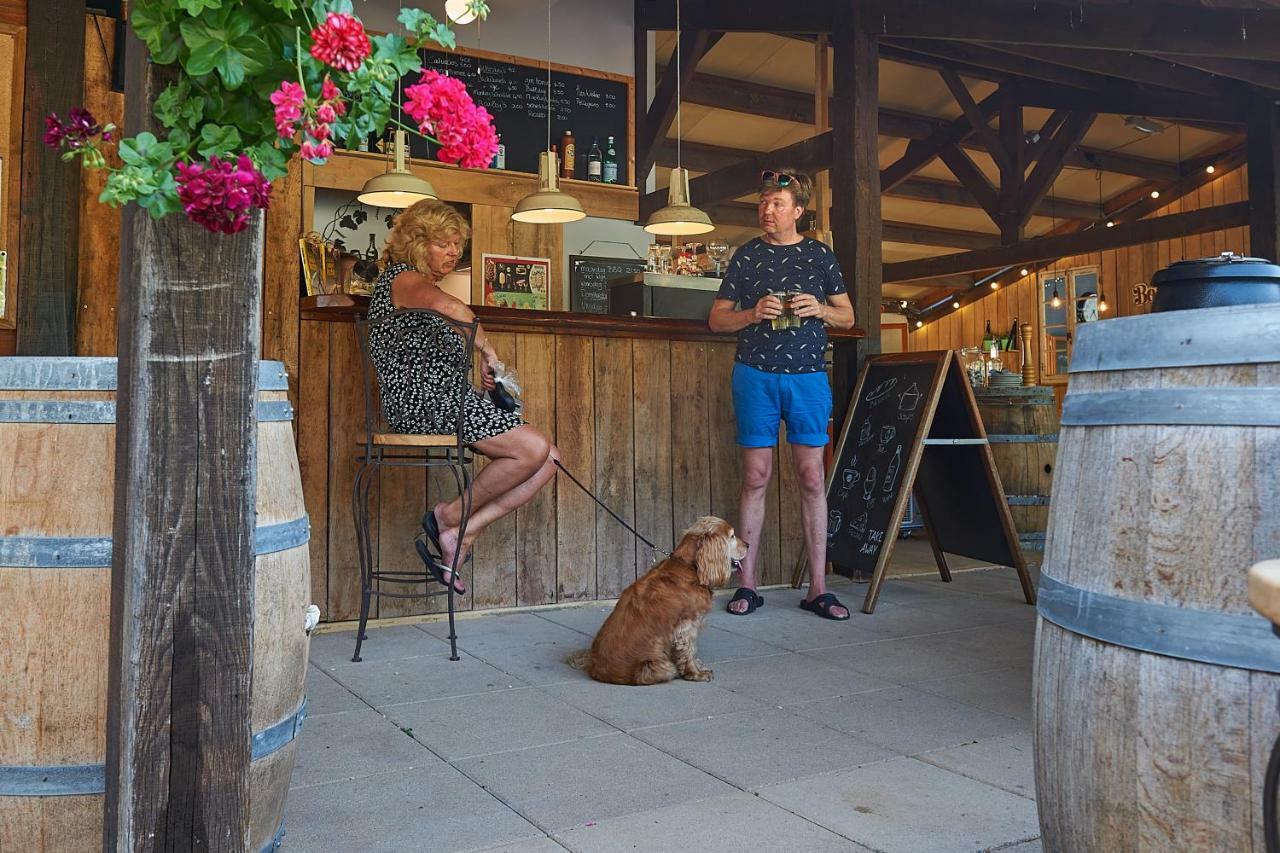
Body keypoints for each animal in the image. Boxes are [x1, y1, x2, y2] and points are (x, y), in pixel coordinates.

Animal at [565, 512, 747, 686]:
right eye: (732, 536)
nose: (748, 545)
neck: (689, 566)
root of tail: (595, 669)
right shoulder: (686, 626)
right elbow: (688, 651)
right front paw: (696, 673)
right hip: (661, 667)